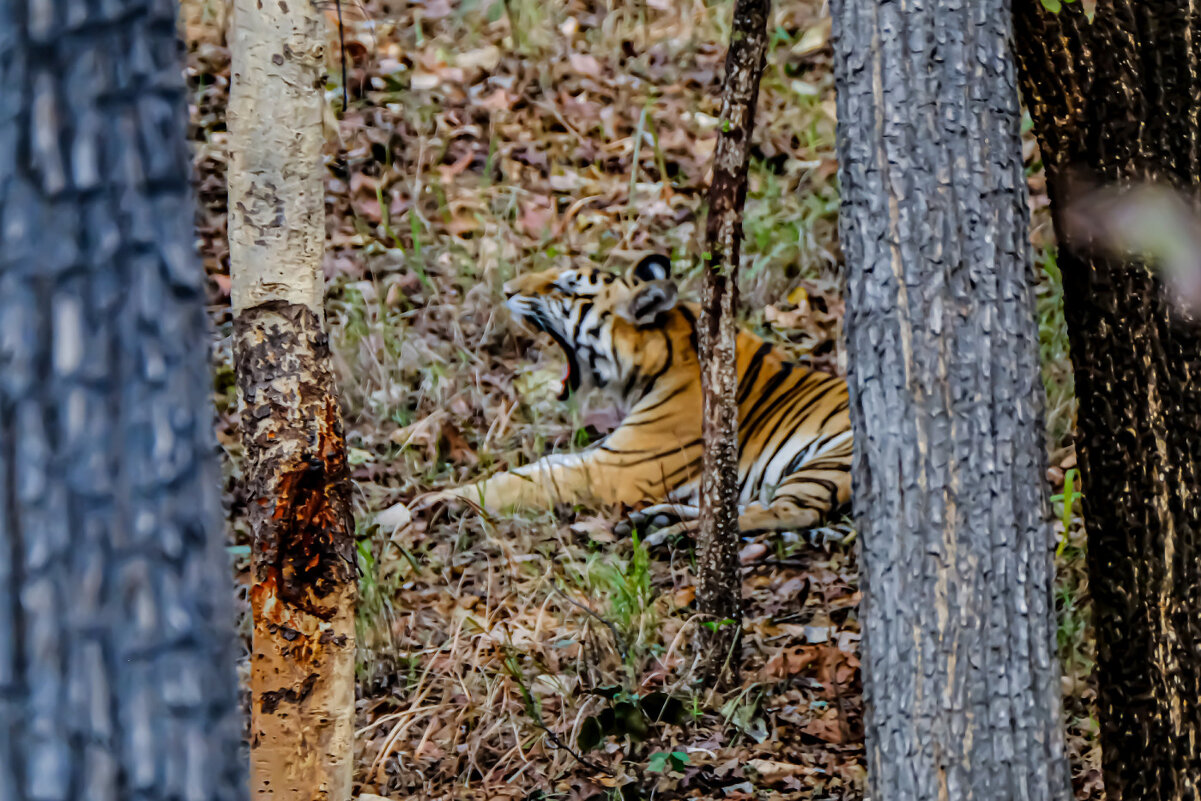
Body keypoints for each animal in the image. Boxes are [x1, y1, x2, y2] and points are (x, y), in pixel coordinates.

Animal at [413, 253, 855, 542]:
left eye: (564, 287)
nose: (505, 290)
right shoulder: (607, 453)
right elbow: (536, 467)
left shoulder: (616, 468)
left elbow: (526, 482)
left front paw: (439, 501)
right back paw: (654, 521)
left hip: (831, 459)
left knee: (787, 513)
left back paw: (673, 533)